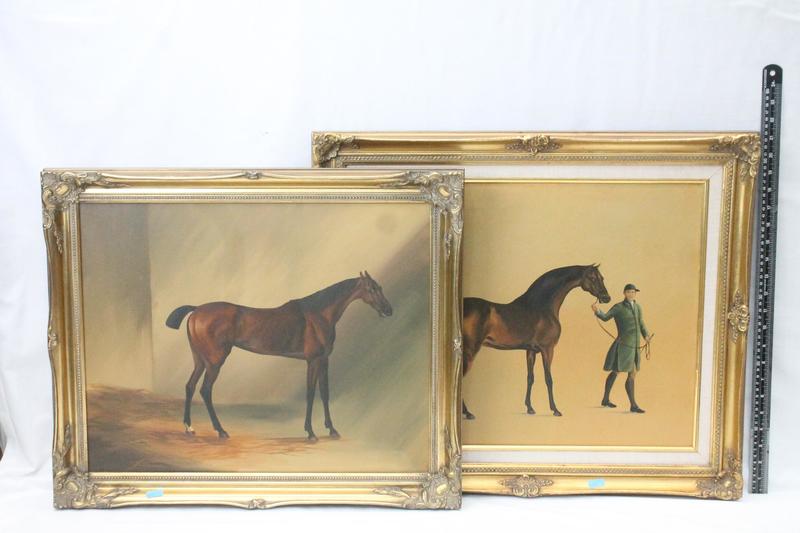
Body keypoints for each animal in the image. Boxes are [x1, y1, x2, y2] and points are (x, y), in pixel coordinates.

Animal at [165, 271, 393, 441]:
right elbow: (311, 393)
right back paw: (220, 431)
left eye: (380, 287)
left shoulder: (324, 360)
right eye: (372, 288)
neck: (319, 314)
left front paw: (332, 429)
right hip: (214, 361)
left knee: (190, 386)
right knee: (205, 390)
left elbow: (325, 392)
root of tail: (196, 310)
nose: (388, 310)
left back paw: (189, 427)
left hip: (199, 359)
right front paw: (310, 432)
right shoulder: (313, 360)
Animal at [461, 264, 610, 419]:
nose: (606, 297)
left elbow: (530, 378)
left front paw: (530, 408)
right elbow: (548, 378)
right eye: (592, 277)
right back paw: (468, 413)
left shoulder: (531, 351)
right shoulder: (547, 349)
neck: (541, 306)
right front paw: (555, 409)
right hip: (470, 351)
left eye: (602, 278)